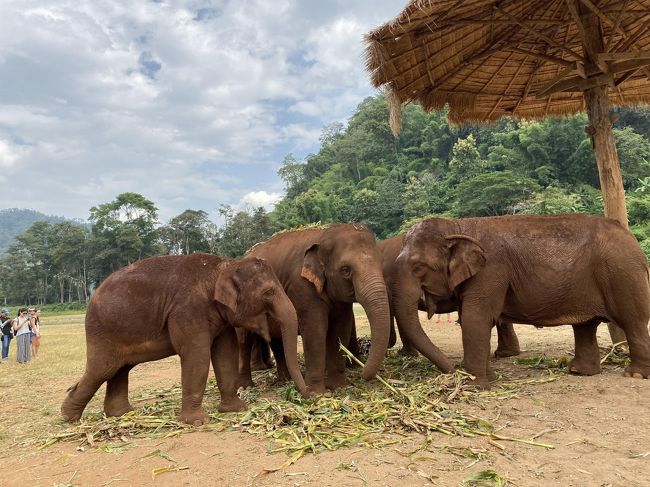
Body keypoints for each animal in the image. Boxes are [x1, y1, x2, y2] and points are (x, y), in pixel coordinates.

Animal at [61, 254, 306, 426]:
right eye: (268, 293)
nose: (307, 396)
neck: (223, 267)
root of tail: (93, 296)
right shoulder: (187, 310)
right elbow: (197, 354)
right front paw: (197, 421)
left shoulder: (221, 318)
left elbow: (225, 353)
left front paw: (237, 408)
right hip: (101, 332)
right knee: (103, 369)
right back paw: (69, 417)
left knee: (120, 369)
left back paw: (121, 414)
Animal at [242, 223, 388, 394]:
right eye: (345, 270)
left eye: (381, 262)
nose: (363, 374)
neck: (322, 236)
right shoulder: (302, 287)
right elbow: (315, 331)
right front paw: (316, 393)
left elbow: (340, 330)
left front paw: (338, 387)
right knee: (246, 339)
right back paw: (247, 386)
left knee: (277, 340)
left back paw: (286, 380)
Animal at [398, 214, 648, 388]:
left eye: (418, 267)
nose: (454, 371)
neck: (457, 226)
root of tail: (630, 236)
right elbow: (480, 321)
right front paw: (490, 379)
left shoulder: (490, 271)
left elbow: (475, 319)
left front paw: (474, 386)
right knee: (585, 326)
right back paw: (579, 372)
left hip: (623, 275)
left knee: (633, 323)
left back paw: (634, 374)